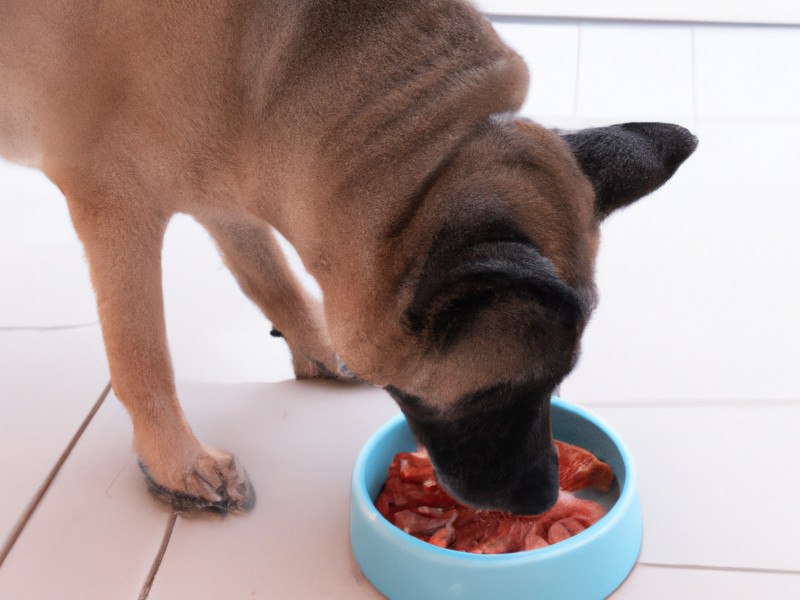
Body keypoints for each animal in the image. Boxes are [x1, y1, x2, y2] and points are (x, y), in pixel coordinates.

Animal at [0, 0, 696, 516]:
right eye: (499, 391)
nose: (545, 499)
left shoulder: (228, 187)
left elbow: (273, 278)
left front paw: (318, 346)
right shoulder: (117, 209)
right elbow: (142, 353)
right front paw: (177, 460)